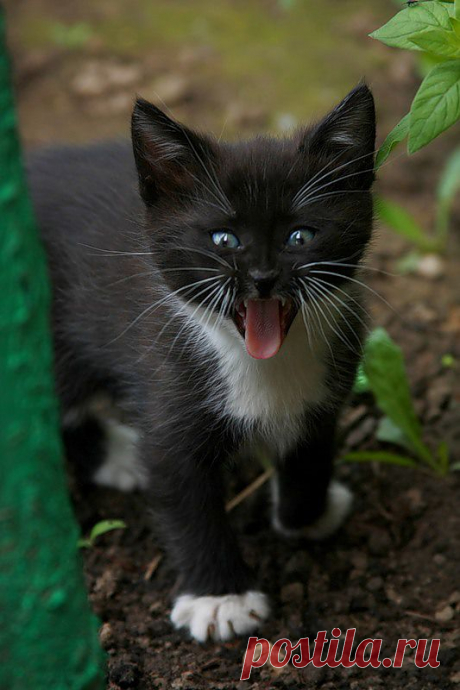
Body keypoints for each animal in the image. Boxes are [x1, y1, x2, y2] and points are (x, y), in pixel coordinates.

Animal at [27, 83, 376, 644]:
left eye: (300, 236)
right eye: (223, 240)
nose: (262, 278)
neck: (259, 362)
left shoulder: (330, 381)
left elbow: (310, 449)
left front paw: (309, 513)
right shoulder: (165, 381)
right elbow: (187, 500)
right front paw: (220, 598)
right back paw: (121, 453)